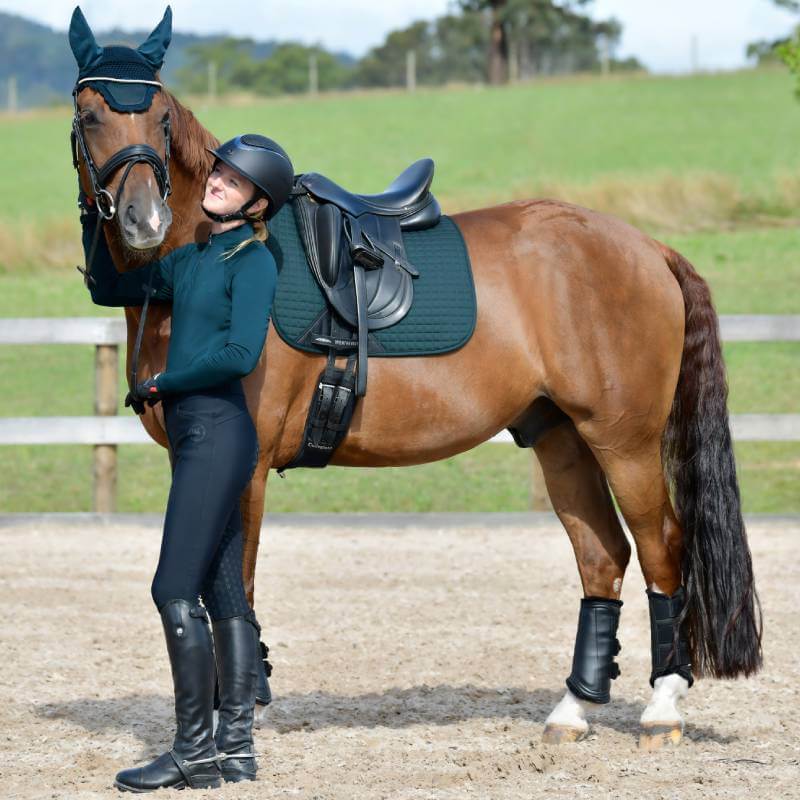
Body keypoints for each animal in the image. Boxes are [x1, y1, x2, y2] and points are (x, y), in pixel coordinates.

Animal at [68, 8, 761, 750]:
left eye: (162, 117)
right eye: (88, 114)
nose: (145, 221)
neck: (206, 263)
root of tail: (648, 248)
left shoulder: (244, 464)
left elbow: (236, 586)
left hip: (624, 441)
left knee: (663, 548)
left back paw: (662, 707)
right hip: (562, 439)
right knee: (602, 556)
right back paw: (572, 710)